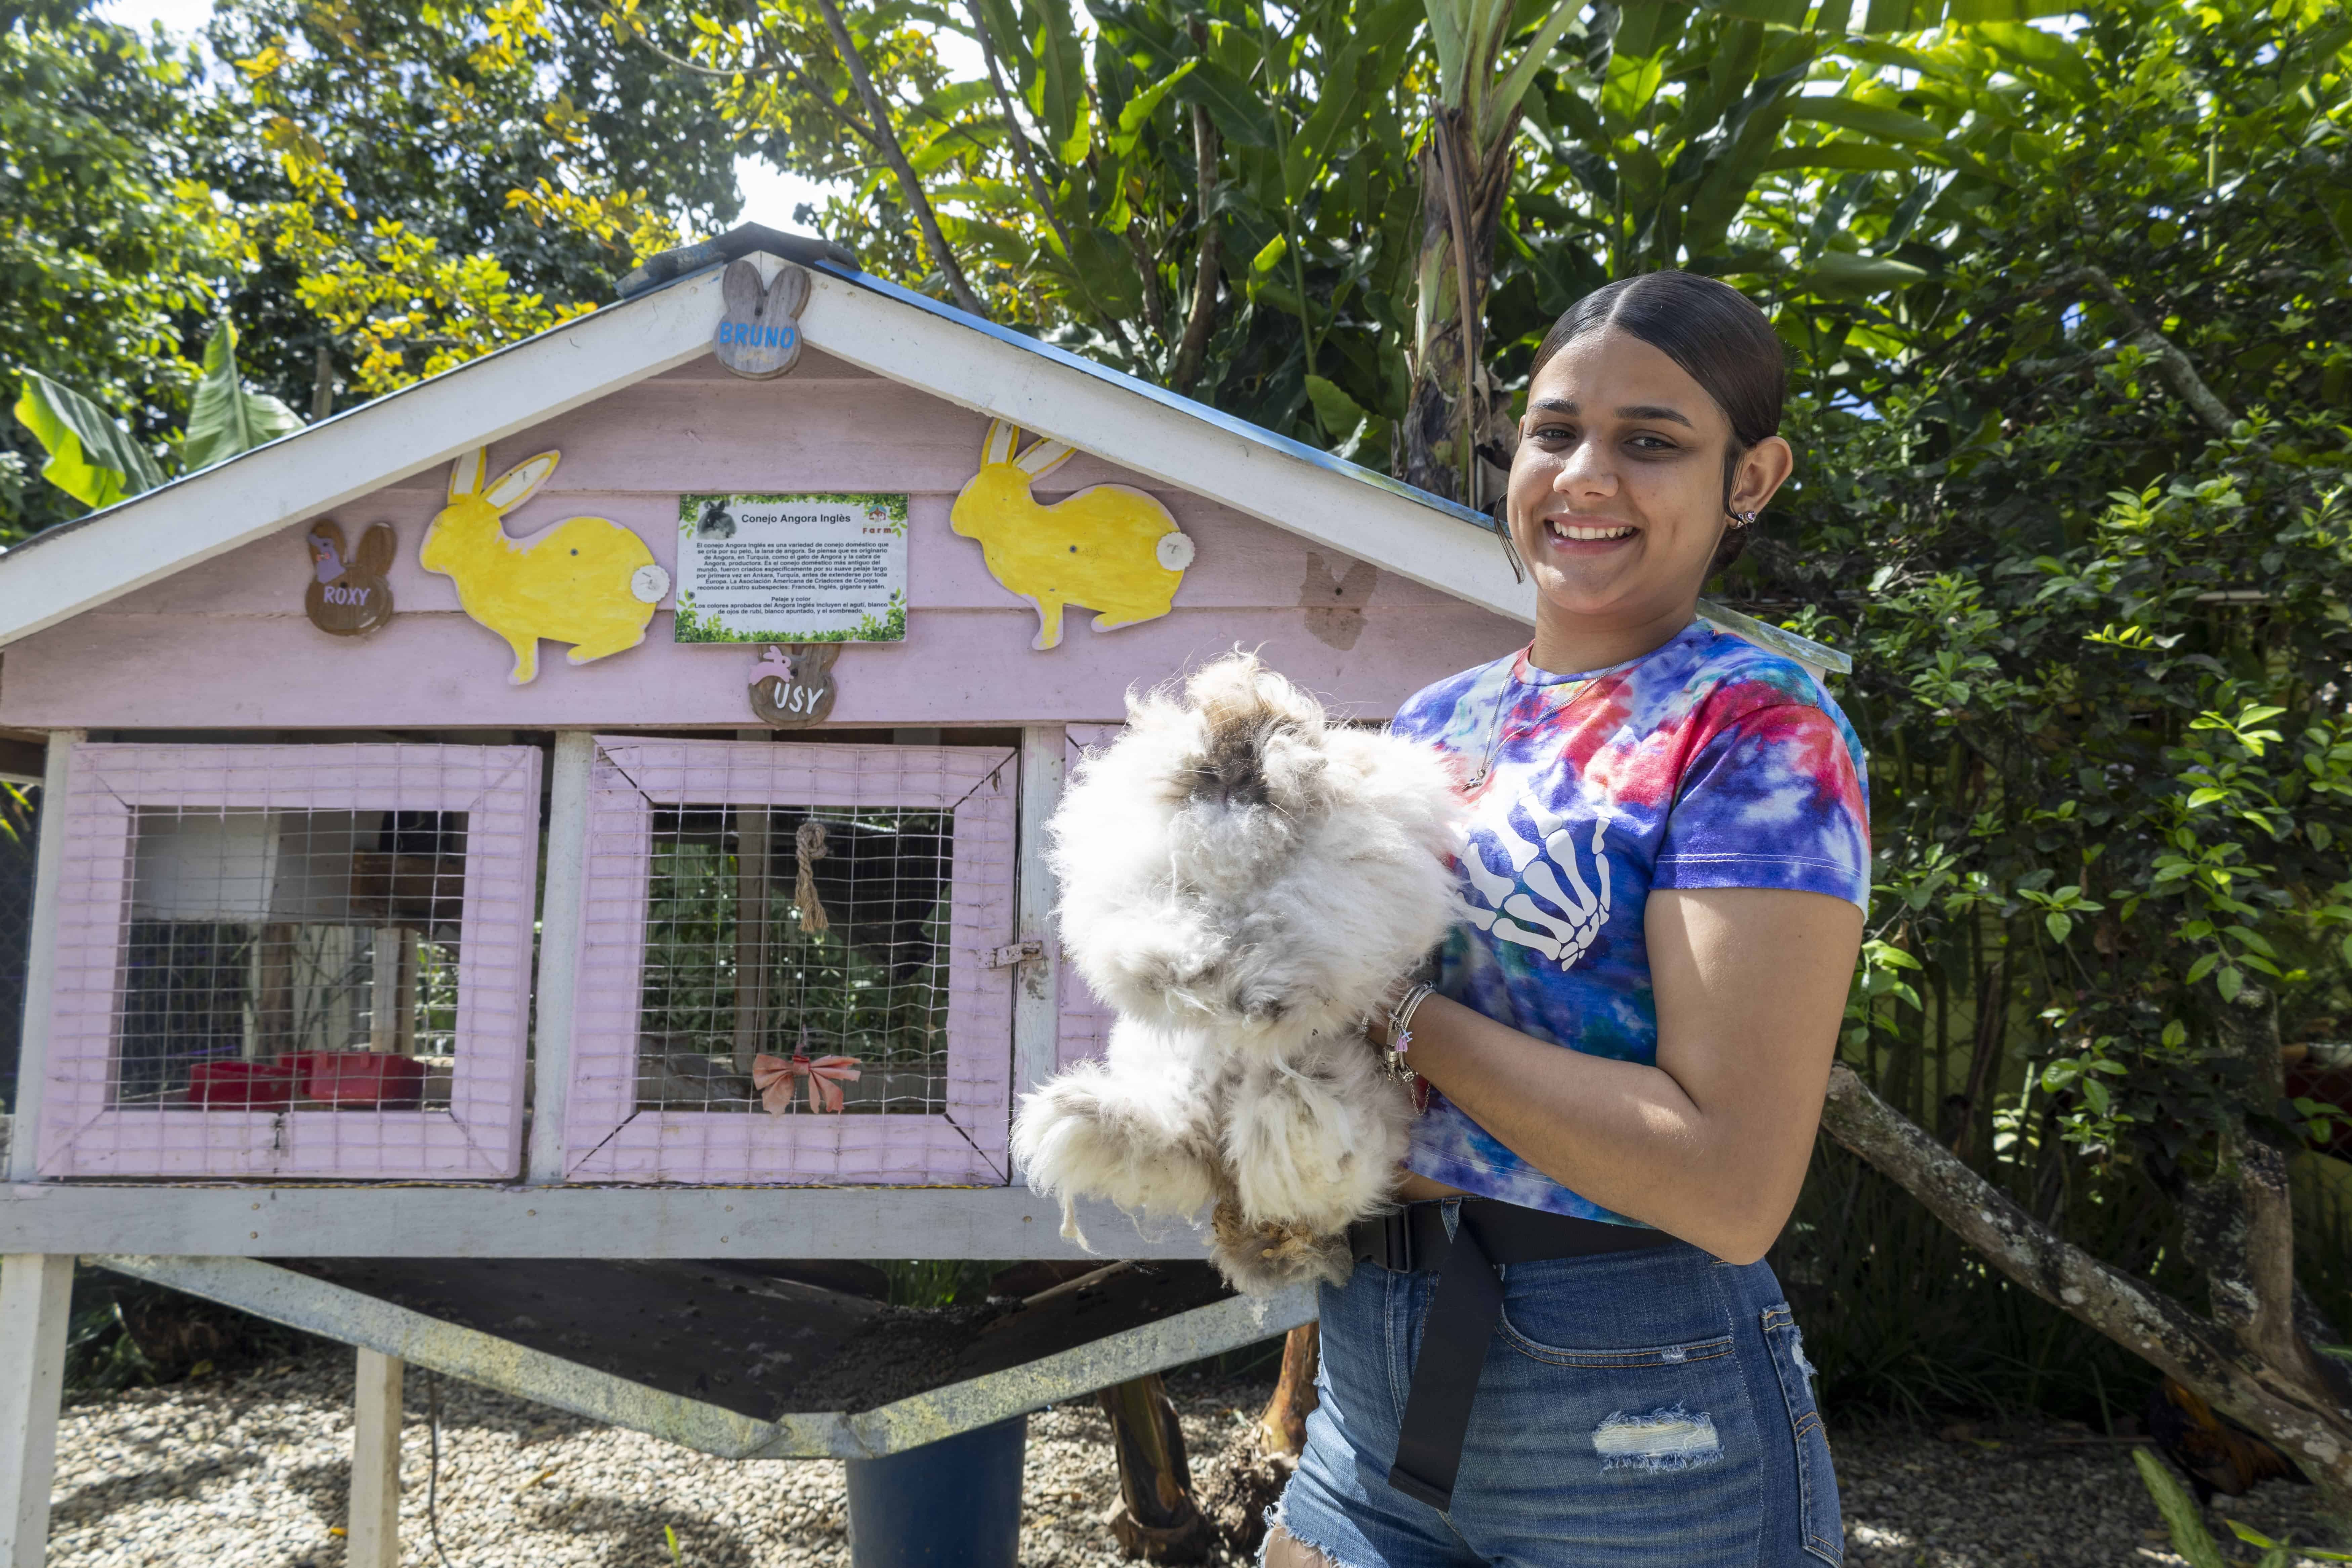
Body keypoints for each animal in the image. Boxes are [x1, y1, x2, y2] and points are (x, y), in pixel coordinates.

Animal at [1016, 649, 1458, 1288]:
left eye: (1277, 869)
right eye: (1188, 882)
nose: (1233, 773)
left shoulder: (1344, 897)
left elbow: (1303, 939)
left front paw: (1257, 993)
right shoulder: (1144, 893)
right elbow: (1150, 928)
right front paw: (1179, 968)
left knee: (1307, 1161)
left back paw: (1291, 1117)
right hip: (1174, 1075)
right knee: (1184, 1139)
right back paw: (1089, 1116)